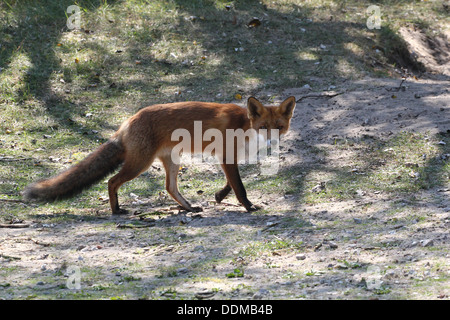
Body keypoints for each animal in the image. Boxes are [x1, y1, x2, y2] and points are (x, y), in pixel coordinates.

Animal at [26, 96, 298, 214]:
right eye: (264, 127)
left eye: (279, 127)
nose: (272, 141)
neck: (244, 125)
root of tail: (127, 122)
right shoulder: (226, 156)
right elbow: (239, 187)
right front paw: (249, 207)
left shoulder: (229, 158)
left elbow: (231, 185)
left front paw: (219, 196)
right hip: (140, 164)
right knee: (112, 181)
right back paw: (116, 210)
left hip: (172, 162)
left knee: (169, 187)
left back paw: (188, 207)